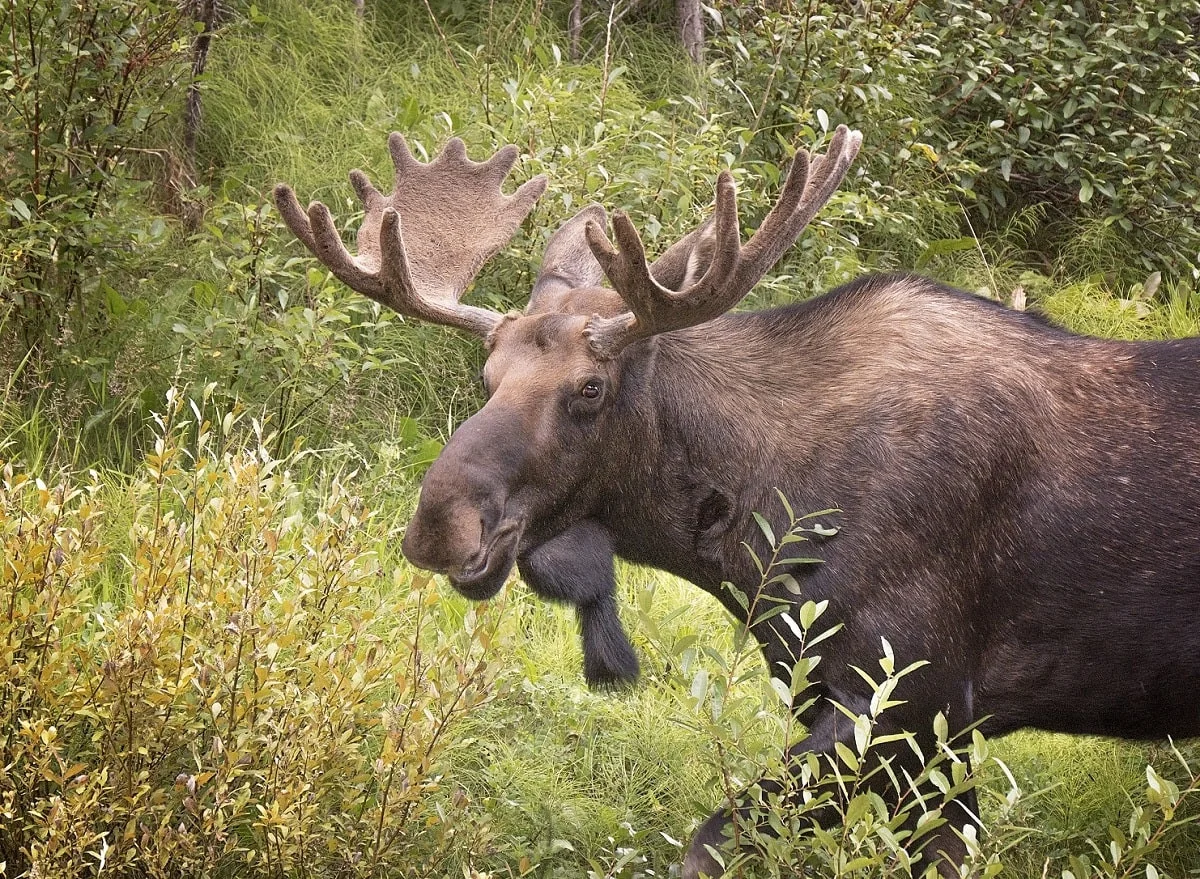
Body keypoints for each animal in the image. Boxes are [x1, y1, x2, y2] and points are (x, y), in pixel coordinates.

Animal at [276, 132, 1200, 879]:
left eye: (589, 388)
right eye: (487, 375)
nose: (439, 522)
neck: (756, 525)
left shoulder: (914, 695)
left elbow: (709, 843)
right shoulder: (893, 717)